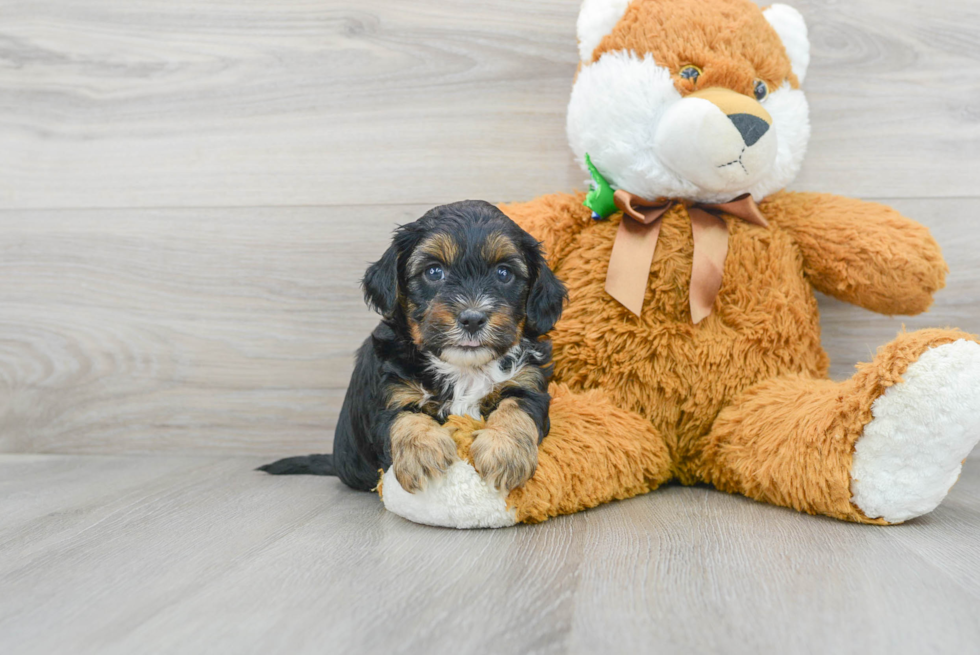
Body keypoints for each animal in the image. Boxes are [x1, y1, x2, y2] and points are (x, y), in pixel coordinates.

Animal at [260, 202, 568, 494]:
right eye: (434, 271)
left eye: (504, 273)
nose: (472, 318)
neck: (463, 368)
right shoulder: (390, 394)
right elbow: (406, 419)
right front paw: (423, 454)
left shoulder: (528, 382)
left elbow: (516, 408)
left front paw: (503, 452)